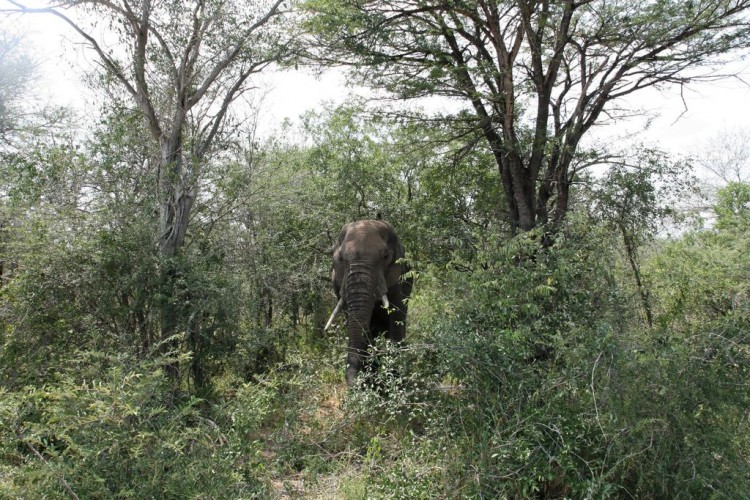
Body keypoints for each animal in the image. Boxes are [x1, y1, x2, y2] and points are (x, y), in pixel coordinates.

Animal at [326, 219, 414, 386]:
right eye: (340, 258)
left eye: (386, 256)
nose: (355, 384)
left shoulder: (398, 277)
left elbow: (396, 318)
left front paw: (396, 380)